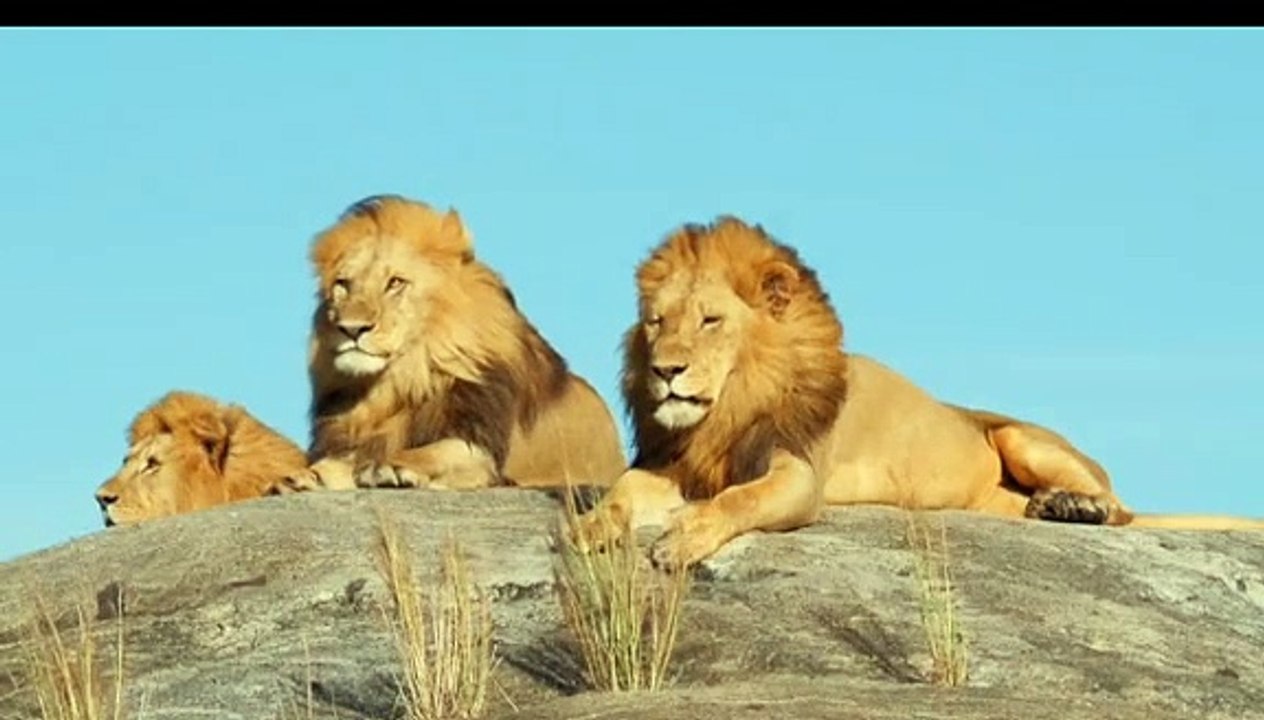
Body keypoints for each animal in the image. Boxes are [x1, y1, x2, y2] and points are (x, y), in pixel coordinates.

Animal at [271, 194, 626, 495]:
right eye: (343, 285)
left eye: (395, 283)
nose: (351, 328)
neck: (400, 382)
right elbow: (336, 462)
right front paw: (304, 477)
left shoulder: (480, 448)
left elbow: (434, 452)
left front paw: (392, 466)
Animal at [575, 216, 1264, 570]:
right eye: (656, 322)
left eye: (711, 321)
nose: (665, 370)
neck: (732, 404)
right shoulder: (676, 464)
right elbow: (623, 492)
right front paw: (587, 529)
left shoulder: (798, 475)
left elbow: (739, 500)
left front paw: (681, 539)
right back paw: (1051, 508)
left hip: (1022, 437)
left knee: (1120, 508)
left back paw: (1078, 507)